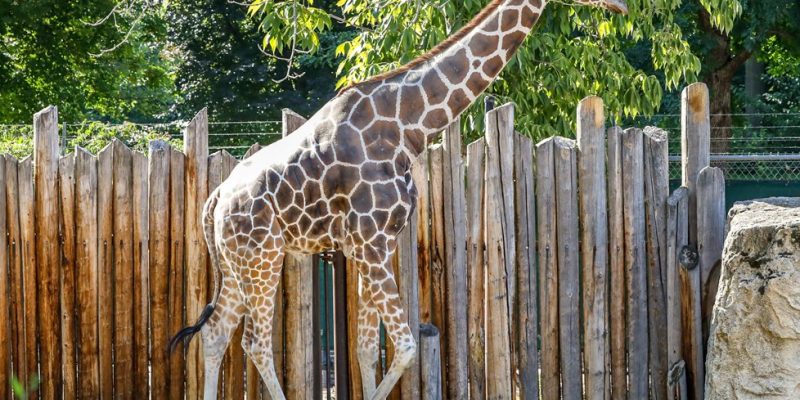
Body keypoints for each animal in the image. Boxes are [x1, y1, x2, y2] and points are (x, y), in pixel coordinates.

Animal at [169, 0, 628, 399]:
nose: (621, 5)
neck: (408, 127)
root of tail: (215, 201)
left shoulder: (374, 244)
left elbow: (366, 347)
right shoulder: (370, 242)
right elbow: (405, 346)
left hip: (237, 264)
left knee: (215, 333)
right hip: (263, 257)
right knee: (255, 342)